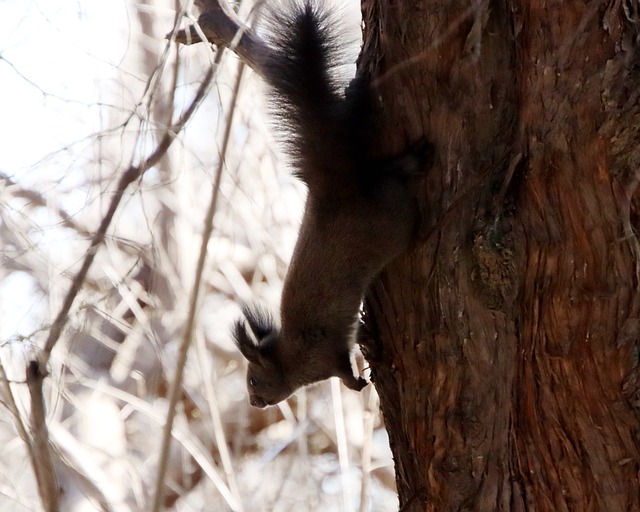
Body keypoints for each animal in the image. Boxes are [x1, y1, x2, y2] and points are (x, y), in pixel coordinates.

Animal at [232, 0, 432, 408]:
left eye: (254, 380)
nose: (254, 403)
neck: (290, 355)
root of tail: (333, 190)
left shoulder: (325, 358)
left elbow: (343, 371)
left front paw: (361, 382)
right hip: (378, 193)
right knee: (383, 172)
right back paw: (410, 161)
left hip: (389, 221)